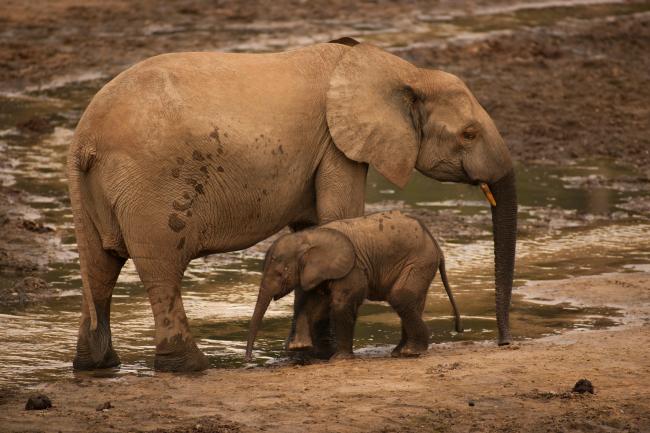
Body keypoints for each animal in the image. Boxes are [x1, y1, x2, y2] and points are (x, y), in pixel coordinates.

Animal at [243, 211, 460, 360]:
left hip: (418, 262)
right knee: (412, 302)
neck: (306, 238)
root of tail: (436, 246)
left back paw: (410, 352)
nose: (249, 359)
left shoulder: (351, 267)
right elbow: (314, 304)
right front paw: (300, 348)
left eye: (281, 274)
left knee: (400, 297)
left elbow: (341, 303)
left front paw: (339, 359)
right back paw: (400, 351)